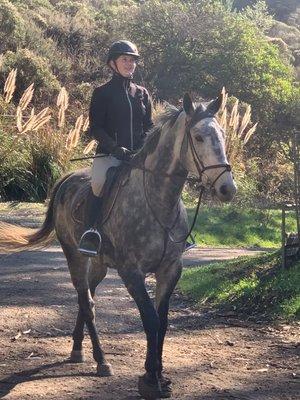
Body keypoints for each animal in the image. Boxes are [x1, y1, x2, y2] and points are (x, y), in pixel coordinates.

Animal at [0, 93, 237, 396]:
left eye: (222, 135)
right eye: (198, 137)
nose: (227, 189)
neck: (158, 202)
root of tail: (66, 180)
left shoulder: (171, 269)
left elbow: (163, 322)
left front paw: (160, 376)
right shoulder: (131, 272)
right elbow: (150, 319)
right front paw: (150, 380)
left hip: (99, 264)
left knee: (87, 297)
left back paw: (77, 349)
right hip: (75, 256)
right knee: (86, 301)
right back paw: (101, 361)